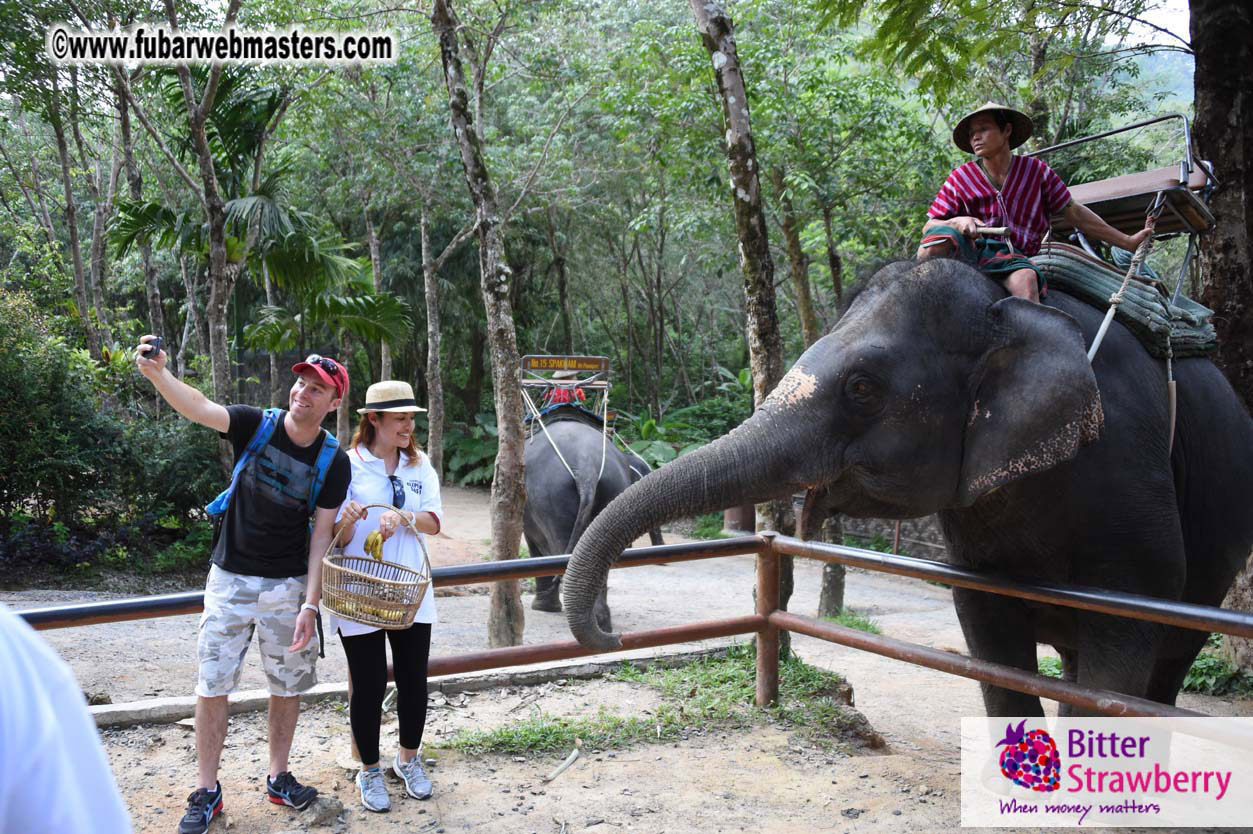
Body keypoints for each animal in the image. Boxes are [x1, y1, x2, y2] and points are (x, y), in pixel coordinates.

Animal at [561, 257, 1253, 717]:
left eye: (862, 387)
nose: (612, 637)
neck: (1005, 308)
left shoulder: (1128, 467)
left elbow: (1125, 639)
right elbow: (990, 638)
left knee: (1167, 665)